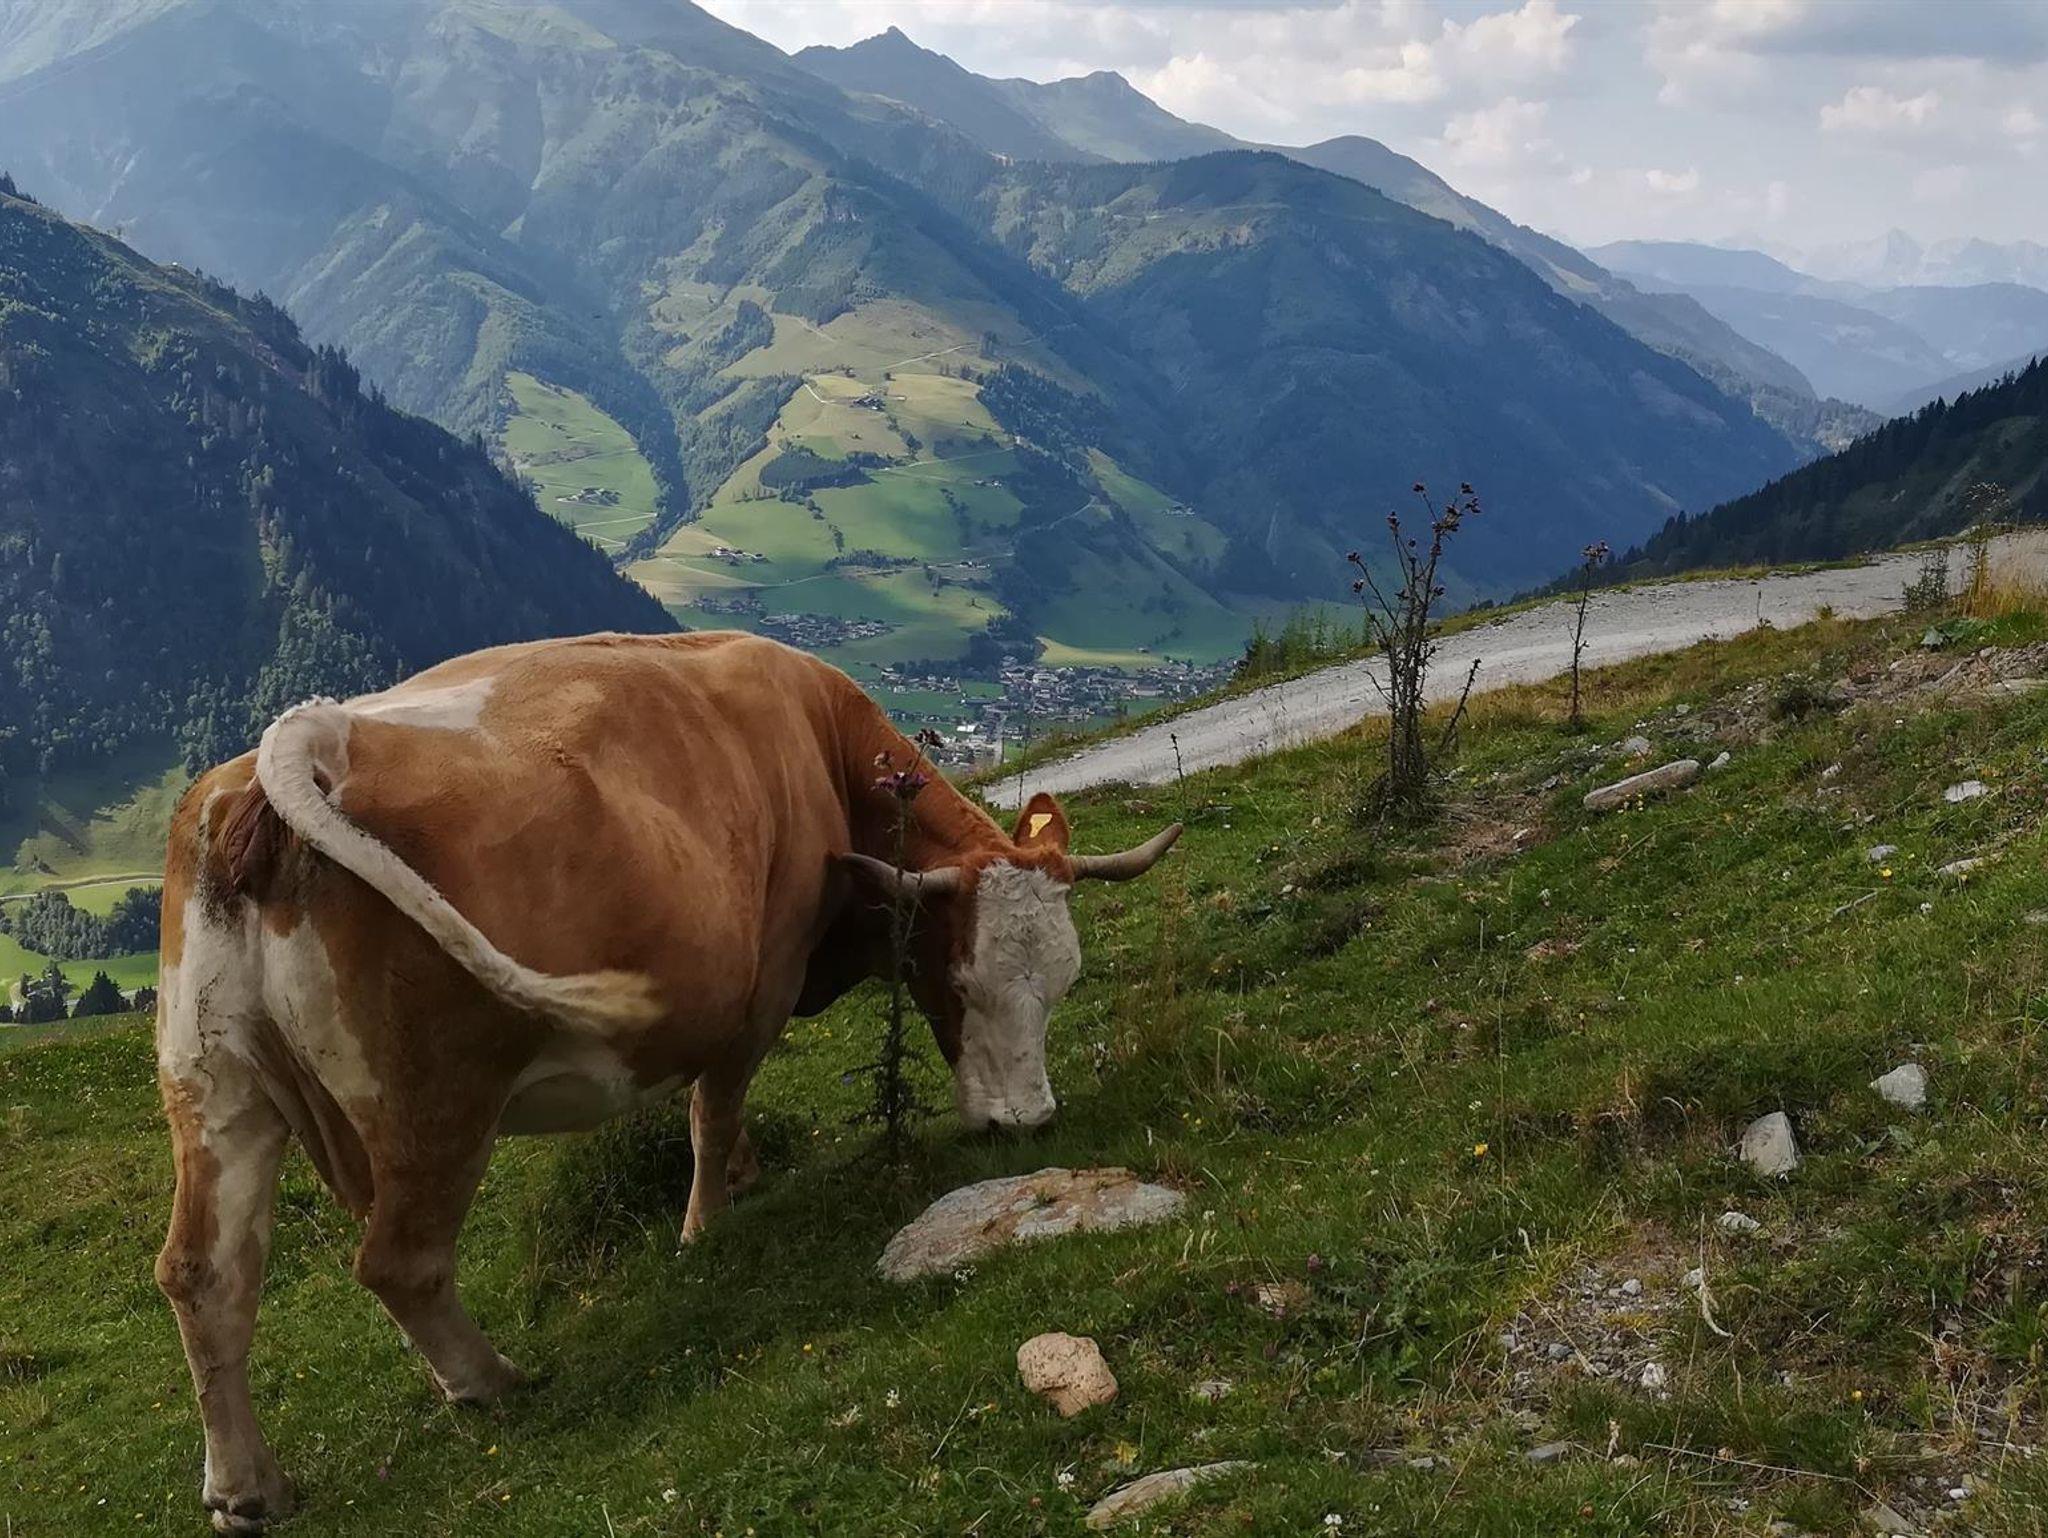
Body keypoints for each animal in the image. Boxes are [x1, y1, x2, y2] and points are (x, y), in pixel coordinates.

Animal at [152, 631, 1179, 1533]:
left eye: (1064, 981)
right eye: (959, 983)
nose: (1026, 1121)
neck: (822, 752)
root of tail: (301, 746)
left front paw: (744, 1180)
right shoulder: (761, 986)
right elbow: (711, 1114)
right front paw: (706, 1224)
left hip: (216, 1086)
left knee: (205, 1273)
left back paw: (248, 1488)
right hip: (434, 1100)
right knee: (398, 1260)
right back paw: (488, 1381)